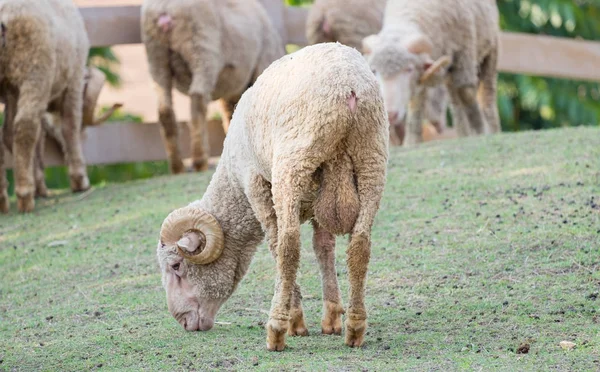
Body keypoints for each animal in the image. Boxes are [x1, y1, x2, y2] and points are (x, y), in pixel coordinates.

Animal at [0, 0, 91, 212]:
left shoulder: (12, 91)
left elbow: (24, 138)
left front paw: (39, 185)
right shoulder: (74, 80)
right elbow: (70, 127)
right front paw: (79, 179)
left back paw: (3, 200)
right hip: (35, 68)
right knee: (26, 125)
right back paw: (25, 197)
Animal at [144, 0, 288, 174]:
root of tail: (164, 8)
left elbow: (230, 114)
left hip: (156, 56)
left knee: (165, 109)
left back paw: (177, 166)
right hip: (202, 47)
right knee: (197, 99)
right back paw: (200, 161)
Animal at [156, 42, 390, 350]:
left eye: (176, 266)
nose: (183, 321)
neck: (234, 188)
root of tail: (348, 89)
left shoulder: (255, 184)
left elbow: (276, 244)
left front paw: (296, 321)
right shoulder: (317, 200)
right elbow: (324, 247)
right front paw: (331, 318)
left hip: (292, 165)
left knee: (289, 246)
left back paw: (277, 329)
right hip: (371, 159)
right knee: (360, 245)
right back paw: (354, 328)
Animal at [364, 0, 500, 147]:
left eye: (409, 69)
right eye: (373, 70)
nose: (390, 114)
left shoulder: (464, 54)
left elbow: (466, 94)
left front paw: (479, 131)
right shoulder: (422, 73)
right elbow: (416, 103)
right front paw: (412, 141)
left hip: (490, 51)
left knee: (486, 95)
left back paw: (492, 130)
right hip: (449, 72)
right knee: (455, 102)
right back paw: (464, 133)